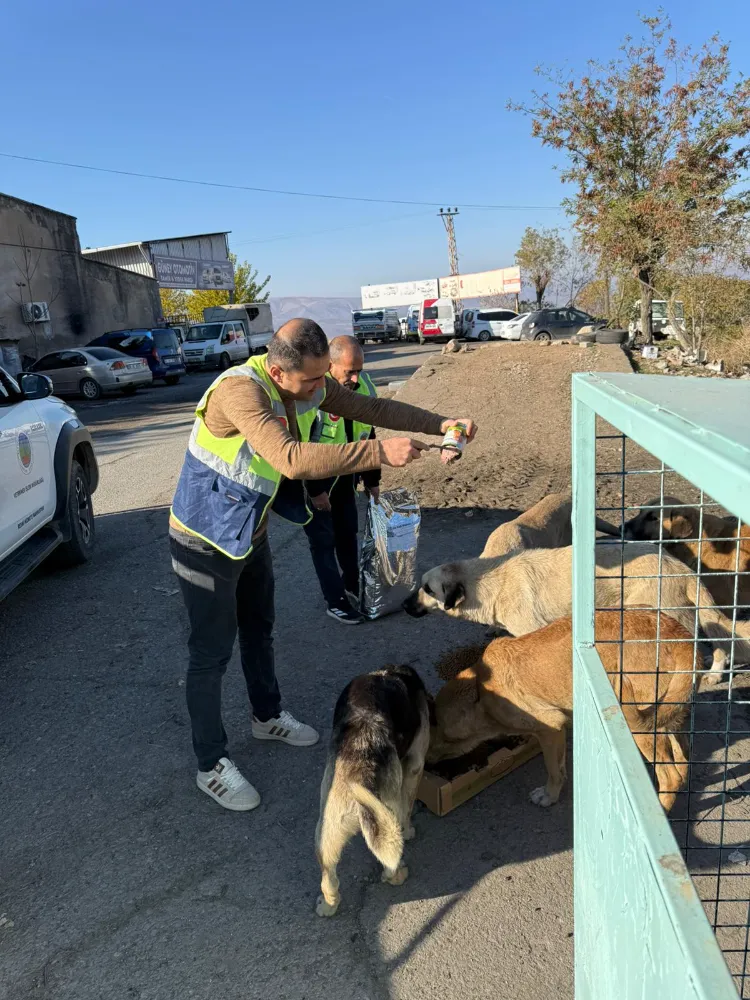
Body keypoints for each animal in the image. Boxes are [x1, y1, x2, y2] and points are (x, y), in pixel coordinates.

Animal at [406, 544, 750, 684]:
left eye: (427, 588)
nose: (405, 606)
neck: (488, 580)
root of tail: (680, 566)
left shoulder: (530, 629)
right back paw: (716, 673)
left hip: (664, 615)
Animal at [428, 608, 692, 812]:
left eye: (439, 732)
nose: (426, 762)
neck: (480, 692)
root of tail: (679, 636)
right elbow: (561, 767)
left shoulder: (551, 729)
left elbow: (554, 770)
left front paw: (549, 796)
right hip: (667, 721)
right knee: (683, 767)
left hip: (641, 730)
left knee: (671, 778)